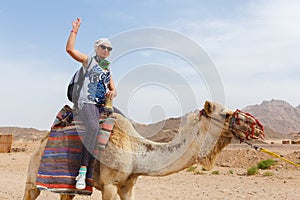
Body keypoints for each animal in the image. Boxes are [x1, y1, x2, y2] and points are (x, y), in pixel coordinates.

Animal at [23, 101, 264, 199]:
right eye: (226, 114)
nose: (257, 127)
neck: (136, 153)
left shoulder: (127, 187)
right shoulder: (110, 185)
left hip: (67, 187)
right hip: (32, 179)